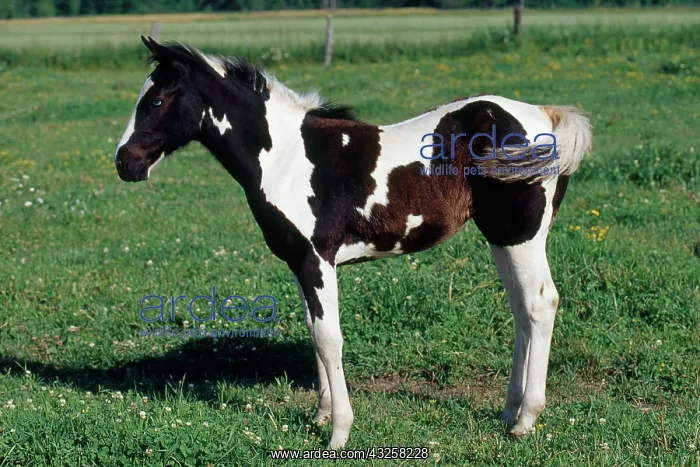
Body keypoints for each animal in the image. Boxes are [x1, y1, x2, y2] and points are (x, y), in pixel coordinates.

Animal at [115, 36, 592, 449]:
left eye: (155, 101)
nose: (124, 163)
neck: (285, 156)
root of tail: (544, 115)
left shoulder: (316, 260)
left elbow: (329, 339)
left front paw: (339, 431)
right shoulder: (301, 264)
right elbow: (314, 333)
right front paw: (321, 415)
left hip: (519, 235)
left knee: (540, 305)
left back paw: (526, 419)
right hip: (501, 237)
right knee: (521, 311)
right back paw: (509, 411)